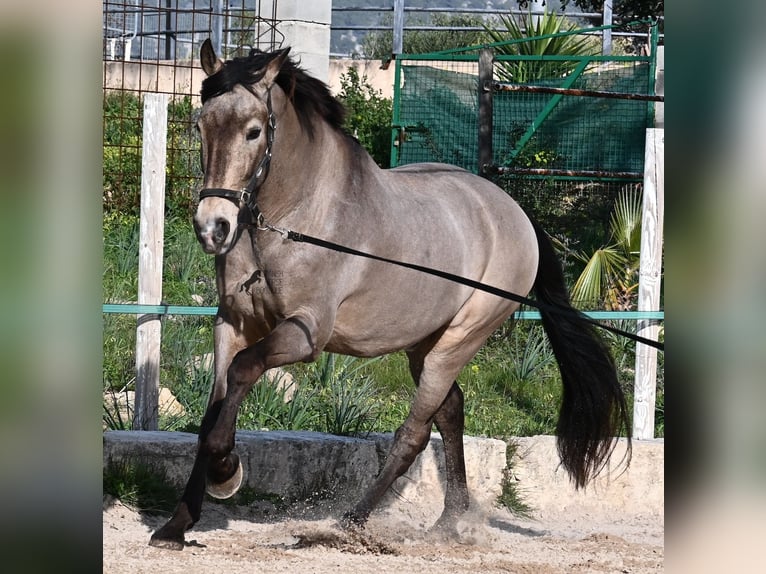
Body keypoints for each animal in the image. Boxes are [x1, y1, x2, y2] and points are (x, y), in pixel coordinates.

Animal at [149, 40, 631, 549]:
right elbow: (211, 413)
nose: (212, 228)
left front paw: (226, 470)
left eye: (254, 131)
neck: (292, 219)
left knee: (414, 434)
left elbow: (243, 371)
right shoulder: (234, 323)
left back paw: (348, 523)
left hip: (459, 340)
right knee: (451, 411)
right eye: (200, 126)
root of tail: (513, 211)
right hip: (425, 344)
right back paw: (450, 521)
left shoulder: (305, 333)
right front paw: (177, 525)